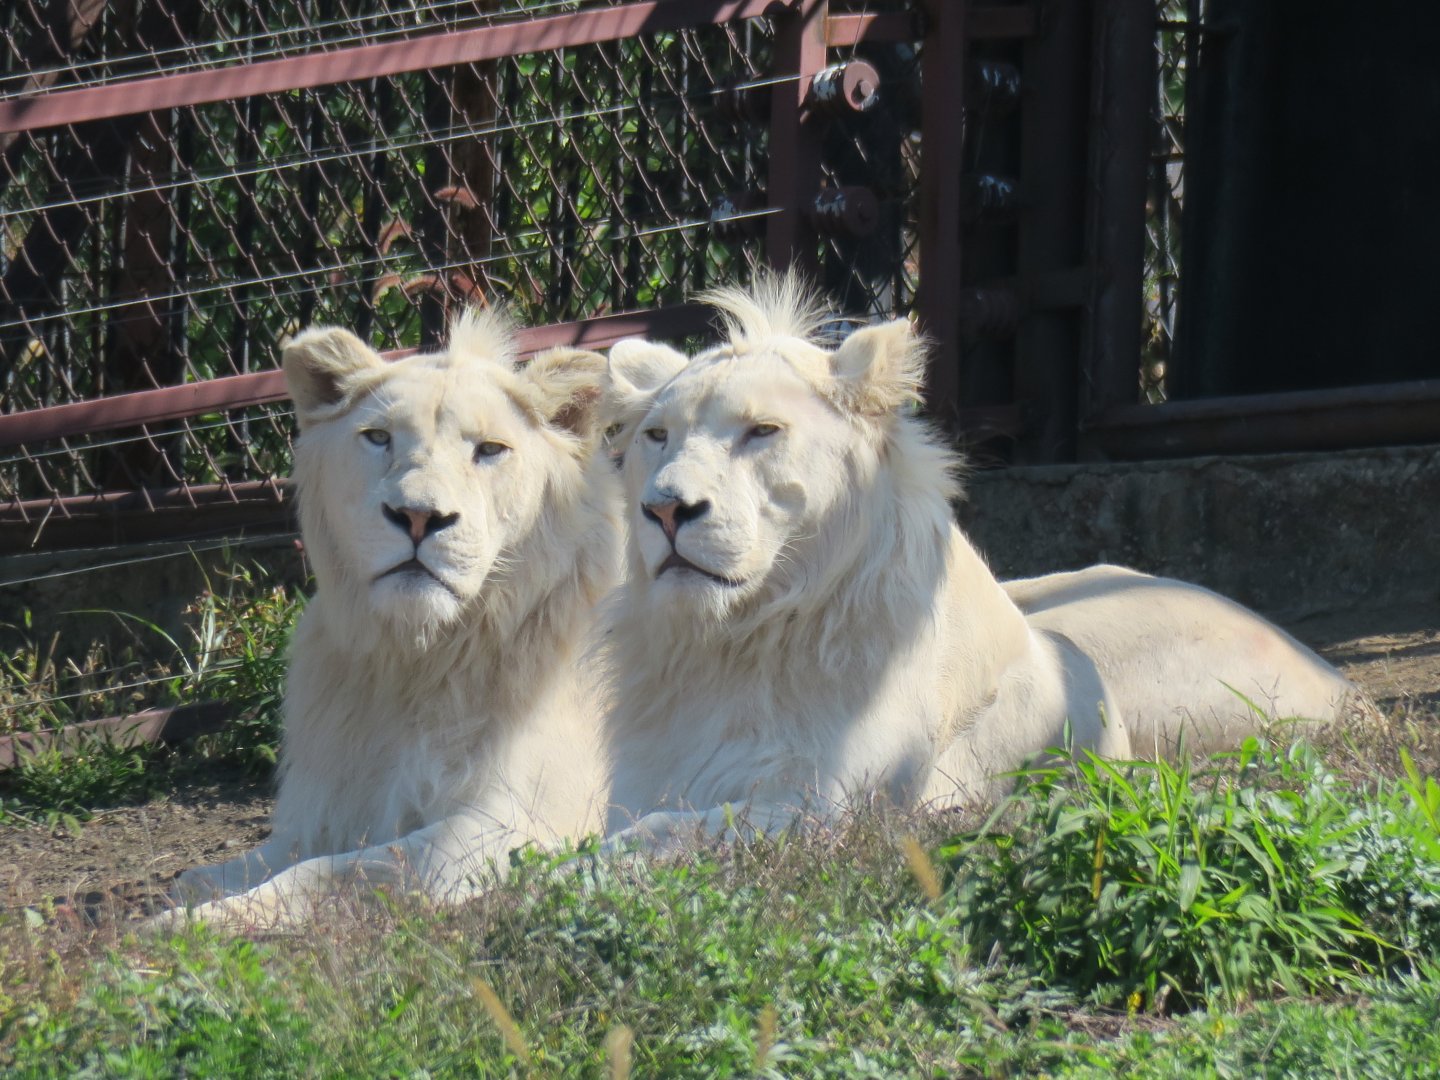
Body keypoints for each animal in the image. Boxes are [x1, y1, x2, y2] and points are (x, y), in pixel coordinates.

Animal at [162, 311, 621, 926]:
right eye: (378, 437)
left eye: (490, 450)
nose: (419, 516)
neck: (415, 659)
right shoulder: (333, 802)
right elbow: (229, 867)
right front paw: (198, 892)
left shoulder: (515, 822)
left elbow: (332, 871)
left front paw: (200, 922)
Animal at [600, 276, 1357, 853]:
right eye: (658, 436)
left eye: (762, 431)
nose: (665, 510)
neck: (732, 645)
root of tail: (1344, 685)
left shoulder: (844, 802)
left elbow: (676, 831)